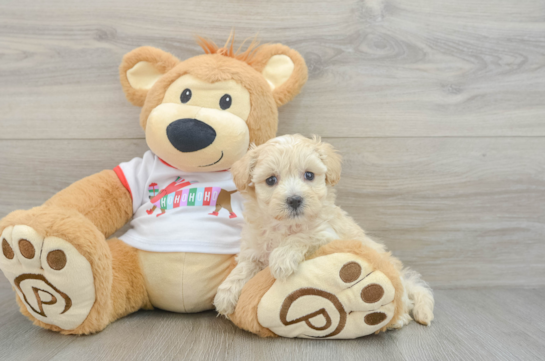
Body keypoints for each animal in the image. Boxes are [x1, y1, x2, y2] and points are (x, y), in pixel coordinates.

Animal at [214, 134, 434, 324]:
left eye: (309, 175)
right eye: (271, 180)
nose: (294, 200)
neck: (286, 225)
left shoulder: (328, 235)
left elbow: (304, 236)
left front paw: (282, 259)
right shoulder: (255, 248)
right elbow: (244, 267)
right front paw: (226, 293)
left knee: (404, 299)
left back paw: (400, 318)